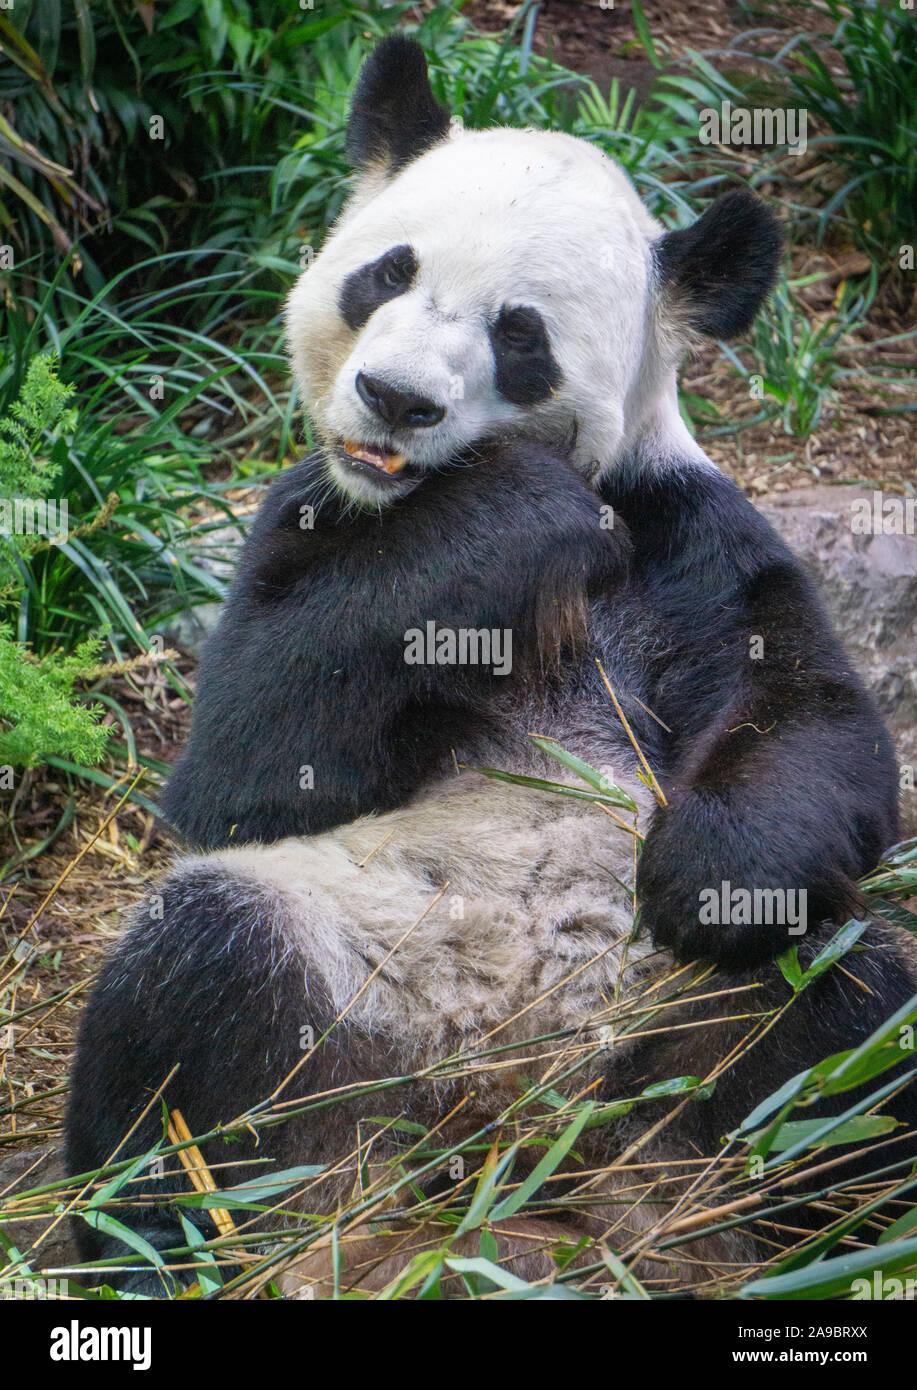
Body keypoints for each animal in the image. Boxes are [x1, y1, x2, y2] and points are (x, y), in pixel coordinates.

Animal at [66, 38, 917, 1295]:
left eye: (520, 336)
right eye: (384, 273)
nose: (396, 399)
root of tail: (512, 1128)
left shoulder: (685, 539)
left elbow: (812, 721)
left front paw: (700, 872)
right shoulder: (308, 521)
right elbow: (242, 766)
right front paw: (510, 516)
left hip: (686, 1018)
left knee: (848, 1019)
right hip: (353, 993)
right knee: (198, 990)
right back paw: (193, 1245)